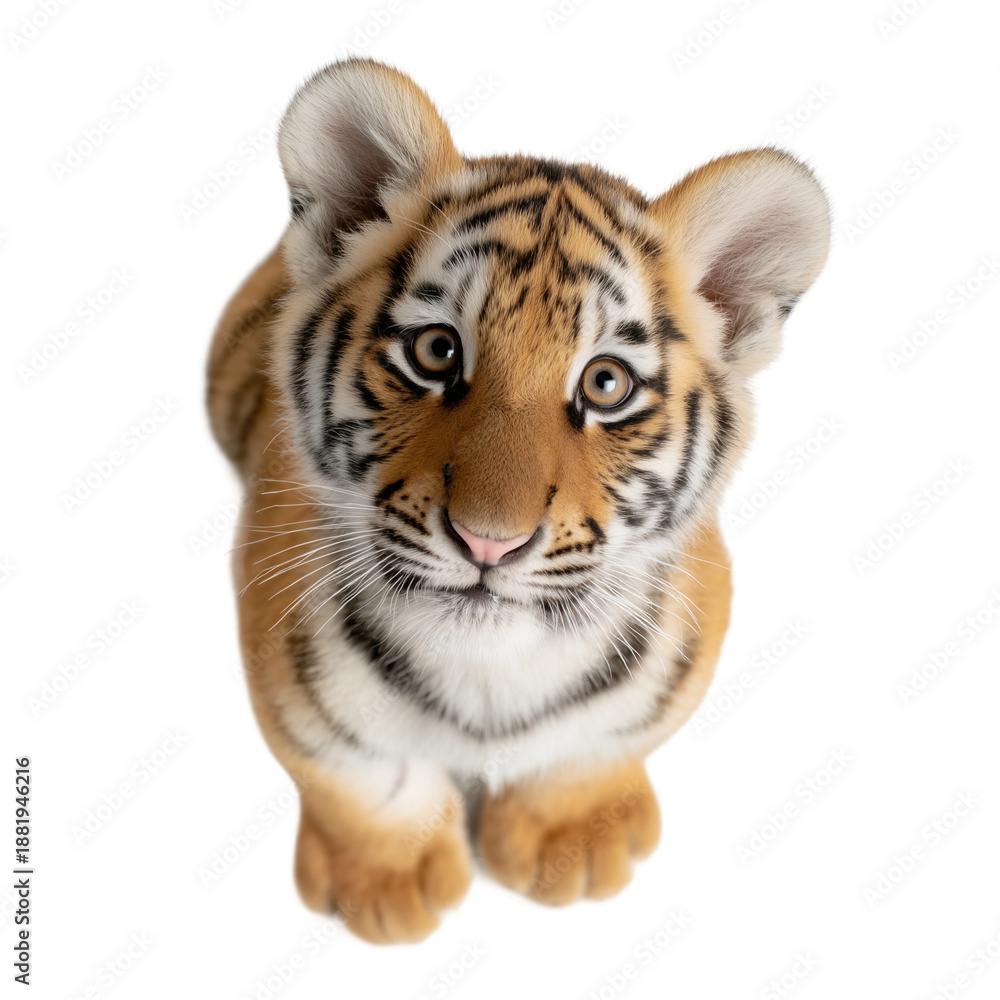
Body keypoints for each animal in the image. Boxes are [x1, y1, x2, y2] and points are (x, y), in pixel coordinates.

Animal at [206, 57, 830, 943]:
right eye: (436, 351)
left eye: (606, 384)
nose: (488, 542)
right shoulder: (284, 660)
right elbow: (362, 778)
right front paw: (389, 889)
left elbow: (590, 747)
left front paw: (571, 846)